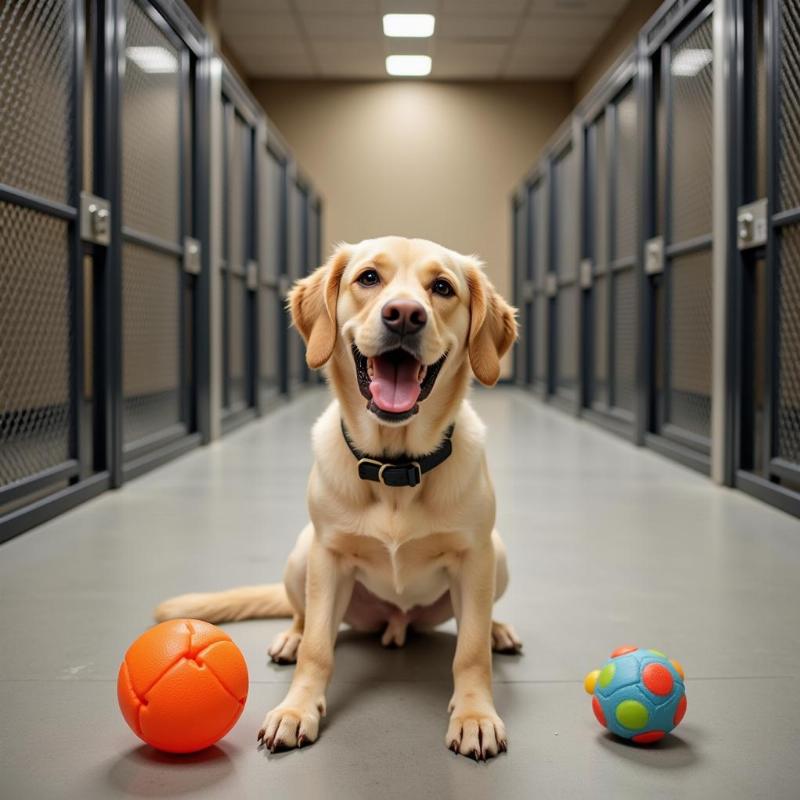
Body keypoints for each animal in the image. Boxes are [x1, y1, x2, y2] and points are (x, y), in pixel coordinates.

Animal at [155, 234, 520, 760]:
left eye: (442, 287)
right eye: (368, 277)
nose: (405, 315)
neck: (395, 468)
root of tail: (396, 621)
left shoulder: (475, 557)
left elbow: (469, 652)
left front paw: (475, 716)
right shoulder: (328, 558)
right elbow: (318, 649)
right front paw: (296, 709)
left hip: (498, 556)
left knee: (480, 616)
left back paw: (497, 630)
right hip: (302, 554)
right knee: (304, 617)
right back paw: (289, 638)